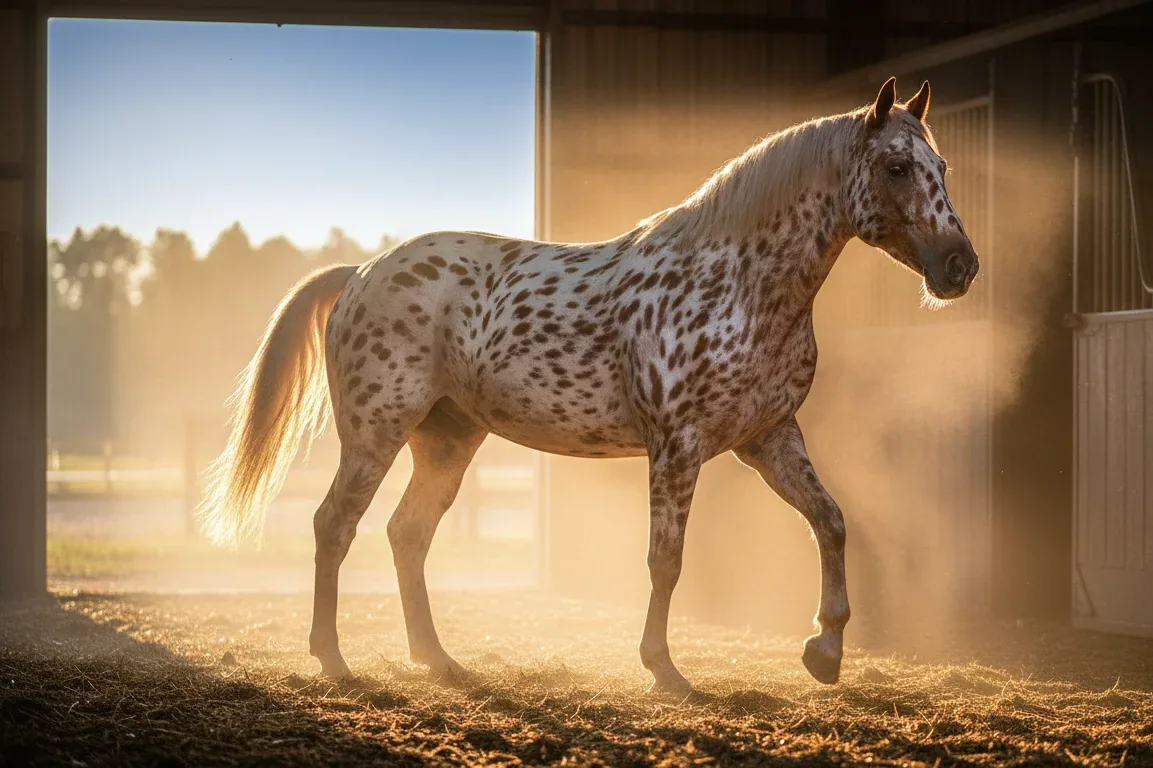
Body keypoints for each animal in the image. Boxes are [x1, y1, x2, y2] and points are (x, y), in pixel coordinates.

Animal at [197, 76, 979, 693]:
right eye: (896, 166)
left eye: (939, 163)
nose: (960, 266)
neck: (740, 282)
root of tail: (360, 272)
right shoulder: (677, 445)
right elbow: (666, 558)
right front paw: (663, 668)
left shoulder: (768, 439)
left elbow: (831, 521)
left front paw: (825, 651)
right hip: (376, 432)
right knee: (335, 524)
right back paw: (333, 660)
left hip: (447, 440)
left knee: (406, 534)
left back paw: (438, 661)